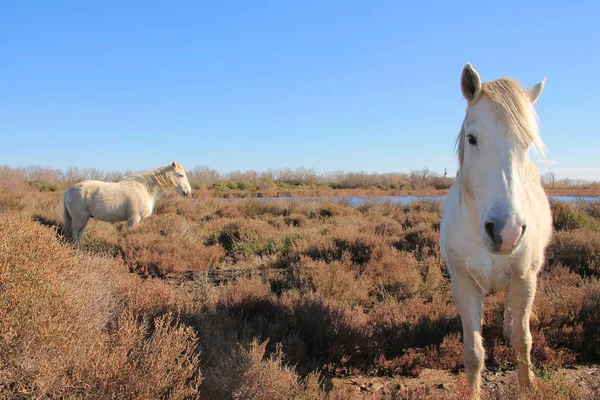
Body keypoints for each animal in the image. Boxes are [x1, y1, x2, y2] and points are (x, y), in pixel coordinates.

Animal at [63, 161, 191, 245]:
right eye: (181, 175)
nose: (187, 192)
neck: (144, 188)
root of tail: (69, 190)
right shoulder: (133, 219)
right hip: (79, 219)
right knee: (75, 234)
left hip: (84, 219)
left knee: (79, 234)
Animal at [438, 64, 552, 398]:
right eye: (472, 138)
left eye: (527, 143)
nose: (506, 232)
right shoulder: (463, 285)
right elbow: (473, 353)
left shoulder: (525, 280)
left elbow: (523, 342)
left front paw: (528, 387)